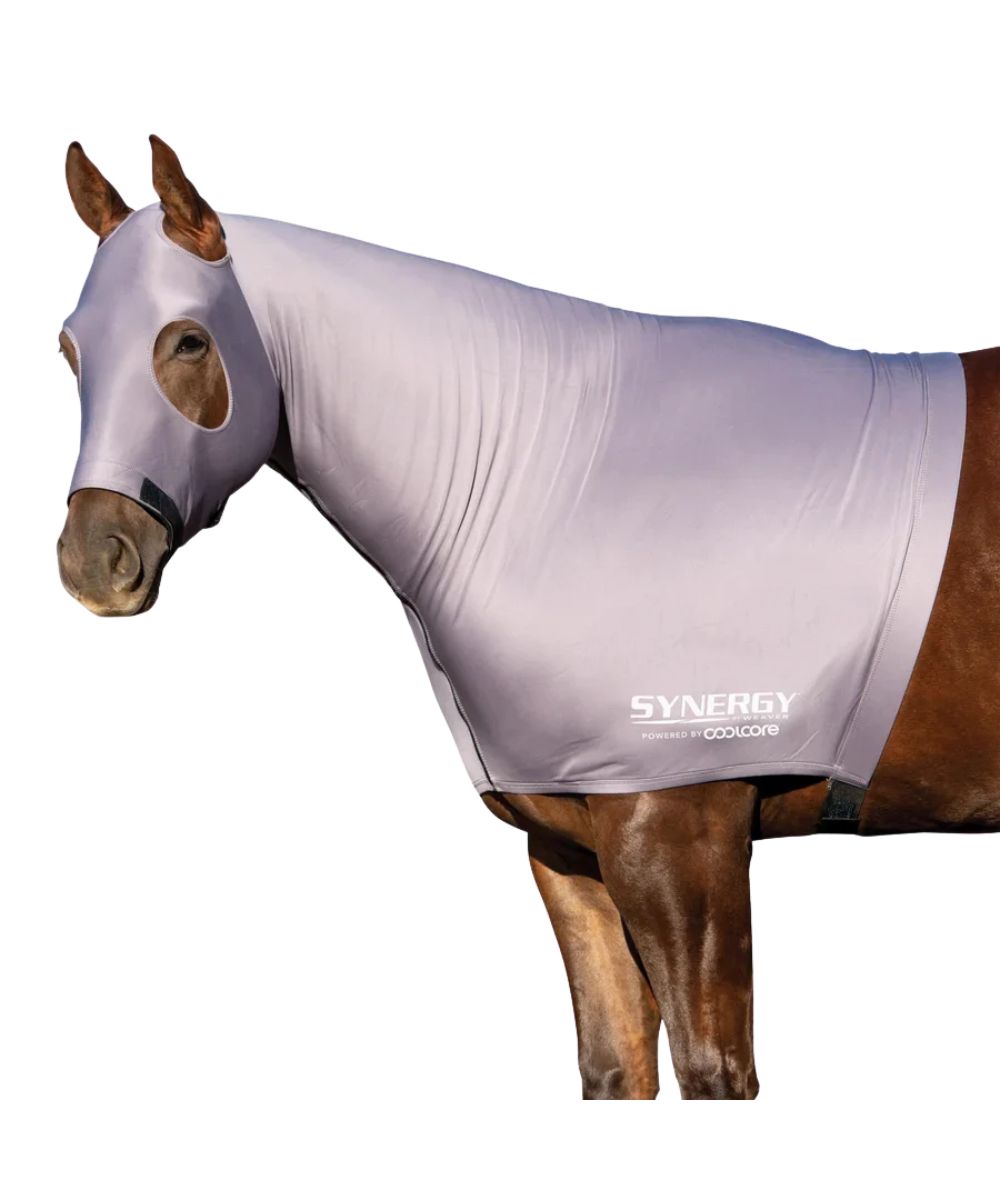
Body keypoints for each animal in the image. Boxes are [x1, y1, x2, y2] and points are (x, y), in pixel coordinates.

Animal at [55, 136, 1000, 1101]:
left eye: (188, 339)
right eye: (69, 351)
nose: (94, 561)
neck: (566, 478)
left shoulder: (684, 835)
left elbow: (714, 1071)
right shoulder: (571, 855)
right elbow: (614, 1066)